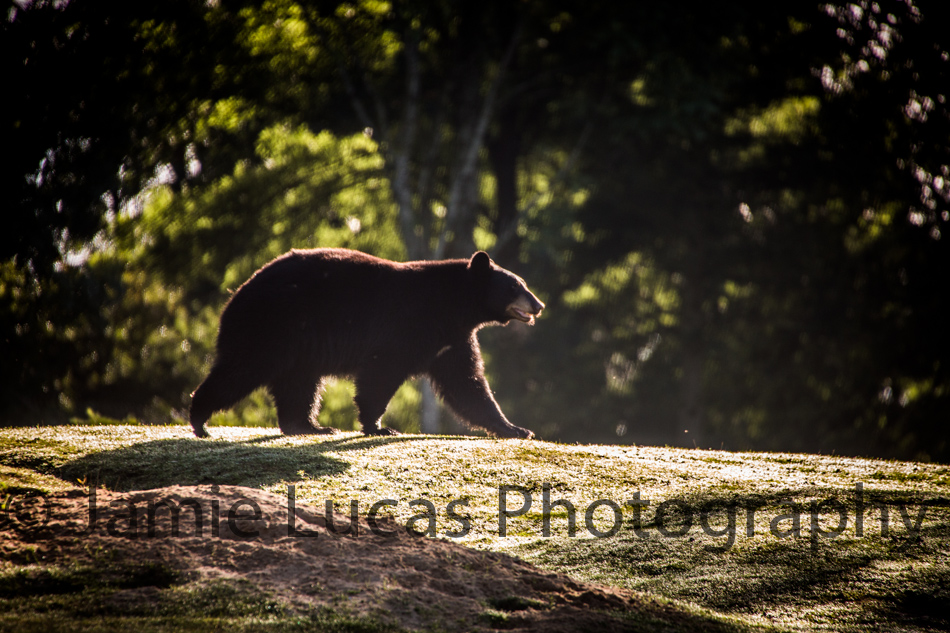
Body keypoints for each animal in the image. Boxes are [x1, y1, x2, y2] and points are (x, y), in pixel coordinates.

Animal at [189, 248, 544, 439]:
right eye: (516, 286)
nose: (539, 305)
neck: (454, 305)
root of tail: (234, 296)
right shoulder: (409, 323)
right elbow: (381, 372)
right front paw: (379, 426)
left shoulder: (452, 339)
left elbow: (467, 384)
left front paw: (516, 429)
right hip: (271, 327)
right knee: (241, 369)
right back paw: (199, 420)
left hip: (299, 345)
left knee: (299, 384)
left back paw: (310, 426)